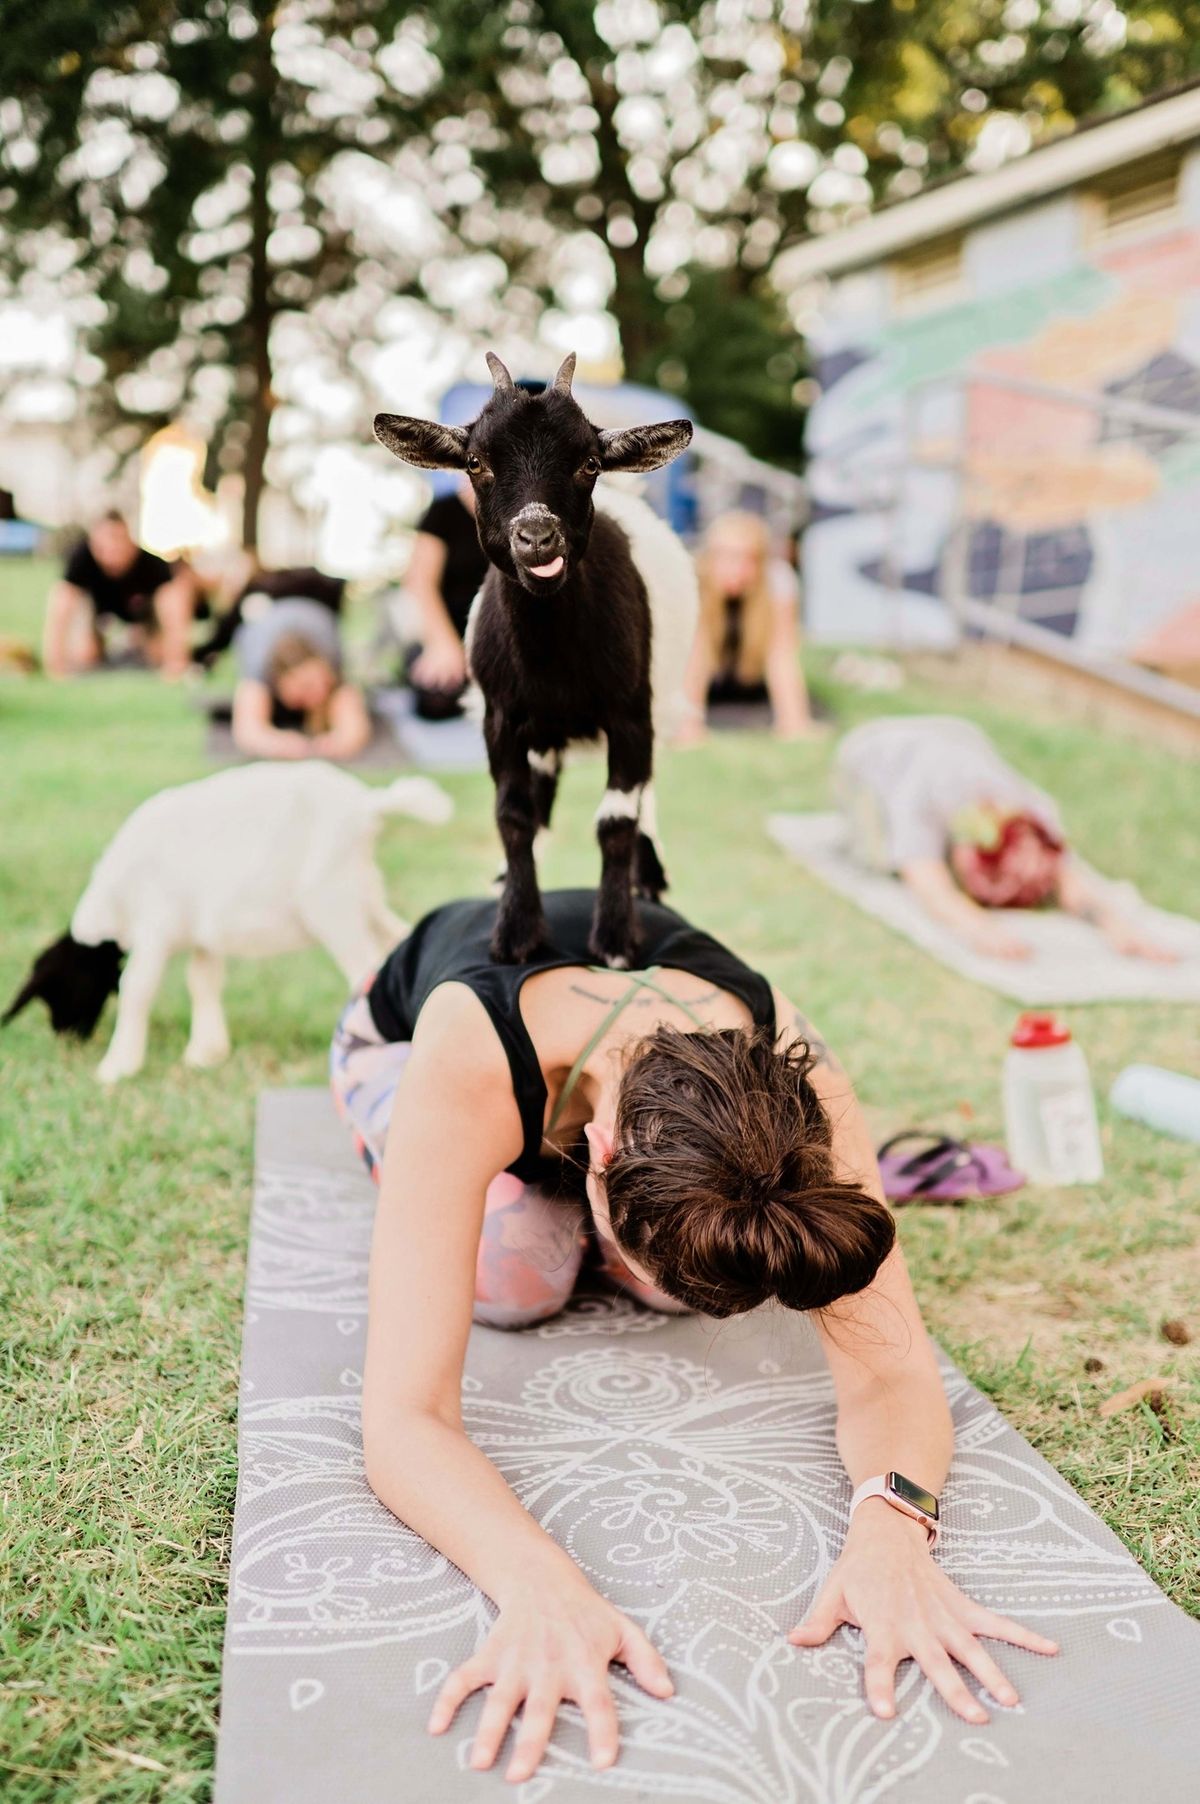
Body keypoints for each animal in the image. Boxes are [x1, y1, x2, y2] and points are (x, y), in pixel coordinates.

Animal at [2, 761, 451, 1082]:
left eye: (59, 992)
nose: (66, 1038)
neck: (118, 900)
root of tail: (367, 806)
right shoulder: (203, 935)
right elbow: (202, 981)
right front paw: (205, 1054)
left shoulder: (156, 925)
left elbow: (138, 988)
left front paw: (116, 1067)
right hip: (363, 893)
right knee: (397, 938)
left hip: (331, 901)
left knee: (363, 967)